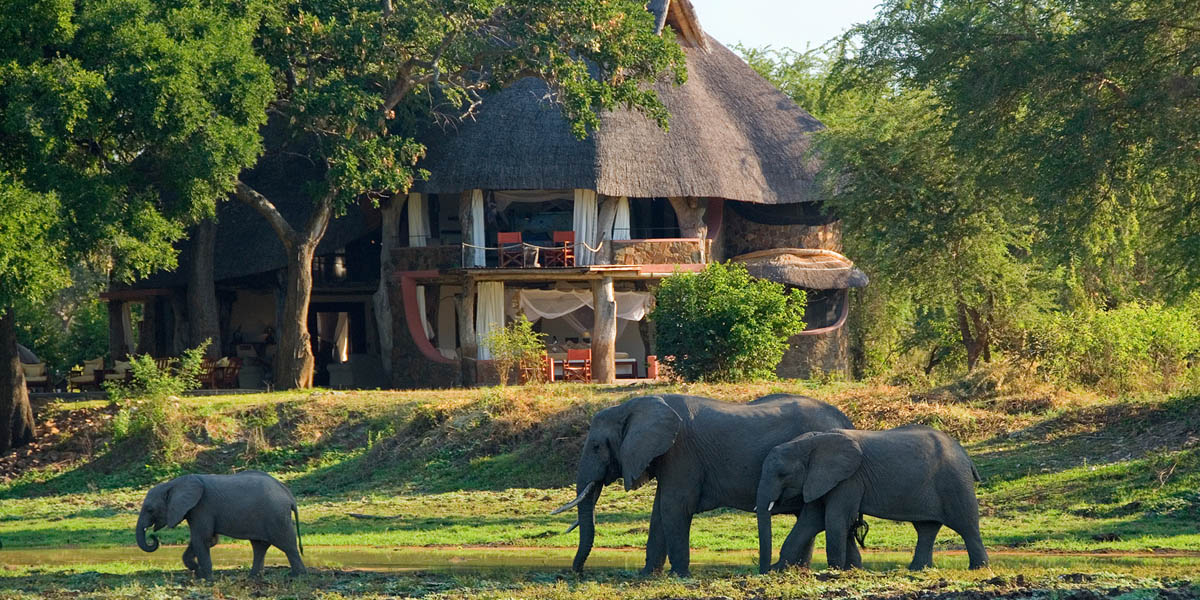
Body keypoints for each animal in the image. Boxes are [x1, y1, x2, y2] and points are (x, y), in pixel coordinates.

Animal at [136, 470, 306, 579]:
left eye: (150, 510)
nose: (152, 537)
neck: (173, 484)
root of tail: (289, 495)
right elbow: (208, 540)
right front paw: (198, 572)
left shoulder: (202, 507)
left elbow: (202, 539)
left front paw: (206, 578)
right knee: (259, 546)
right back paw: (253, 576)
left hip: (277, 516)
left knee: (287, 544)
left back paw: (298, 576)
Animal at [551, 393, 855, 577]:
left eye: (596, 446)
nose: (576, 573)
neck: (634, 405)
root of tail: (846, 420)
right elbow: (659, 512)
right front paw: (647, 575)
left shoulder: (681, 452)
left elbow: (673, 507)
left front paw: (678, 575)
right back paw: (795, 572)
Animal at [756, 425, 988, 573]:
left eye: (782, 474)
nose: (764, 570)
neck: (813, 441)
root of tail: (966, 456)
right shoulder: (820, 479)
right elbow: (811, 520)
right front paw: (778, 570)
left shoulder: (849, 478)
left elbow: (834, 519)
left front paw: (835, 571)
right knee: (926, 528)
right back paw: (917, 569)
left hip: (954, 482)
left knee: (966, 525)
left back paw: (978, 568)